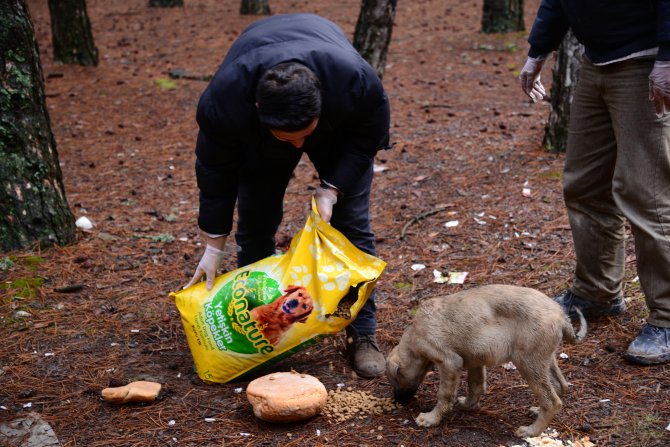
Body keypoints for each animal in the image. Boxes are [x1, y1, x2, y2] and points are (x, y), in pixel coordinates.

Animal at [388, 288, 588, 438]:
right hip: (545, 359)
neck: (415, 333)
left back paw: (531, 431)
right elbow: (476, 386)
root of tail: (561, 316)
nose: (398, 401)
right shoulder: (475, 360)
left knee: (551, 401)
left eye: (395, 380)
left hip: (528, 363)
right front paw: (468, 405)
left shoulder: (449, 362)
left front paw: (431, 418)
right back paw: (536, 411)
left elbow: (444, 394)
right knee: (560, 385)